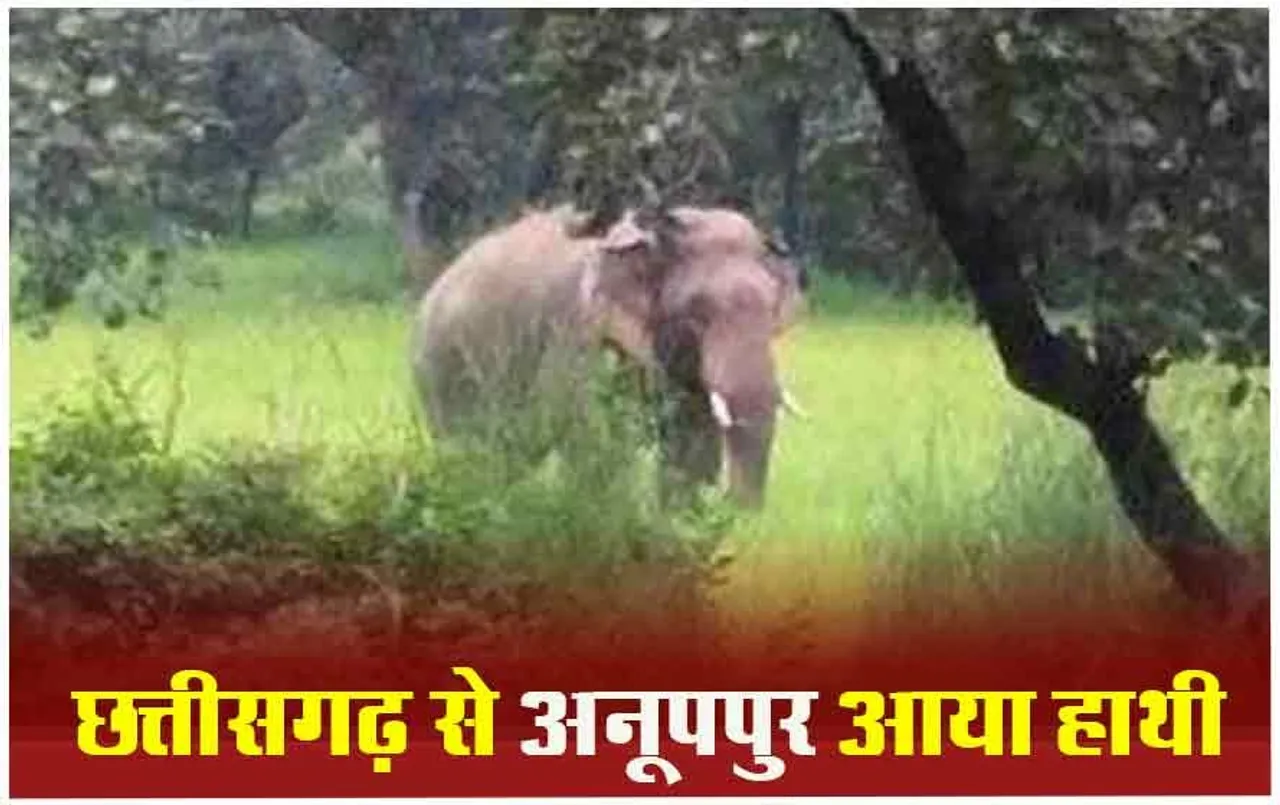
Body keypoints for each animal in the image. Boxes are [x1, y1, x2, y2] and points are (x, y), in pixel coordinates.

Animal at [409, 201, 806, 508]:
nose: (735, 508)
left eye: (772, 311)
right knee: (473, 453)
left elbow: (690, 447)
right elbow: (594, 436)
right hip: (443, 367)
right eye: (696, 315)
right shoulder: (580, 334)